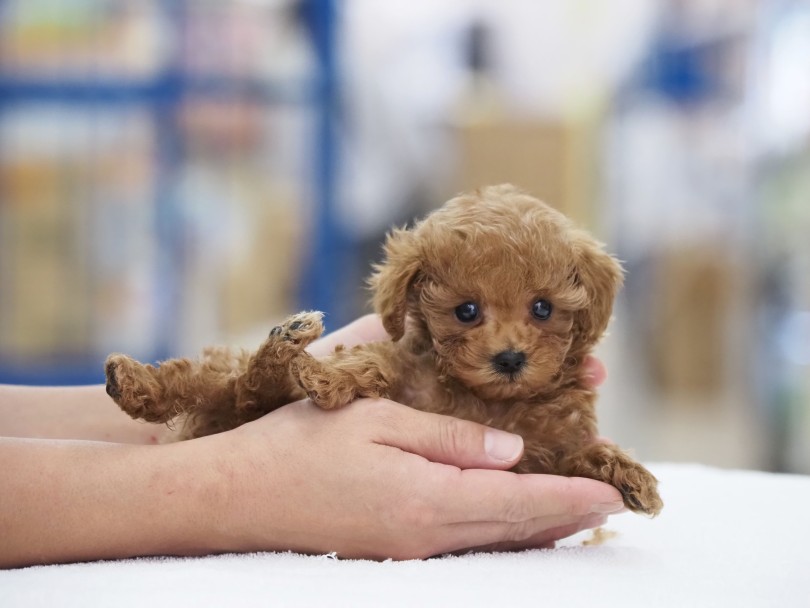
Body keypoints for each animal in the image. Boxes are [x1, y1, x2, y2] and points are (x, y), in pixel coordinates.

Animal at [105, 183, 664, 516]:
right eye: (466, 311)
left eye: (543, 308)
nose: (509, 359)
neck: (488, 402)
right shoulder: (404, 369)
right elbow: (370, 362)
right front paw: (329, 379)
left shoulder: (550, 446)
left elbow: (584, 451)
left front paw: (631, 477)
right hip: (224, 387)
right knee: (221, 381)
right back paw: (140, 379)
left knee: (242, 391)